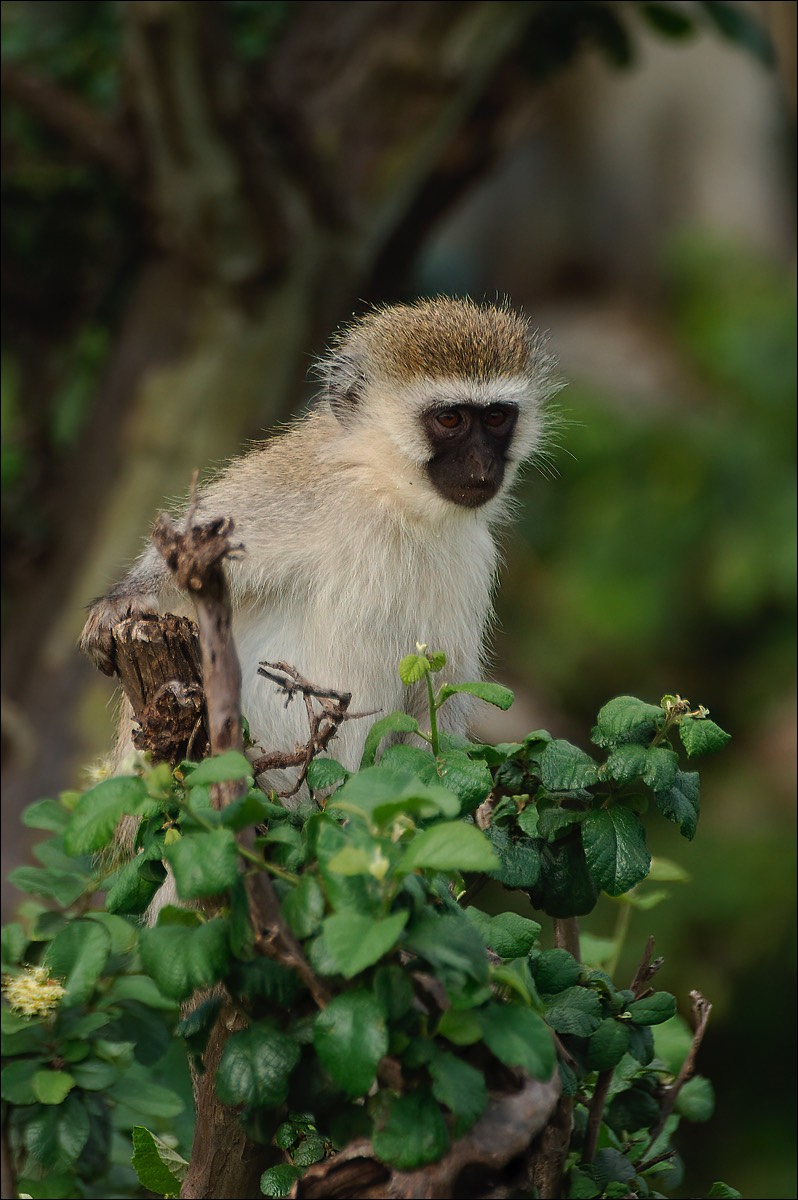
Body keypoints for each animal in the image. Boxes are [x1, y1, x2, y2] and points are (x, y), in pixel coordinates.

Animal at [79, 297, 554, 787]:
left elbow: (437, 702)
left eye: (496, 417)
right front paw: (124, 599)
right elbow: (198, 549)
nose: (482, 466)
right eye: (450, 419)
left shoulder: (474, 558)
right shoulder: (304, 490)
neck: (395, 500)